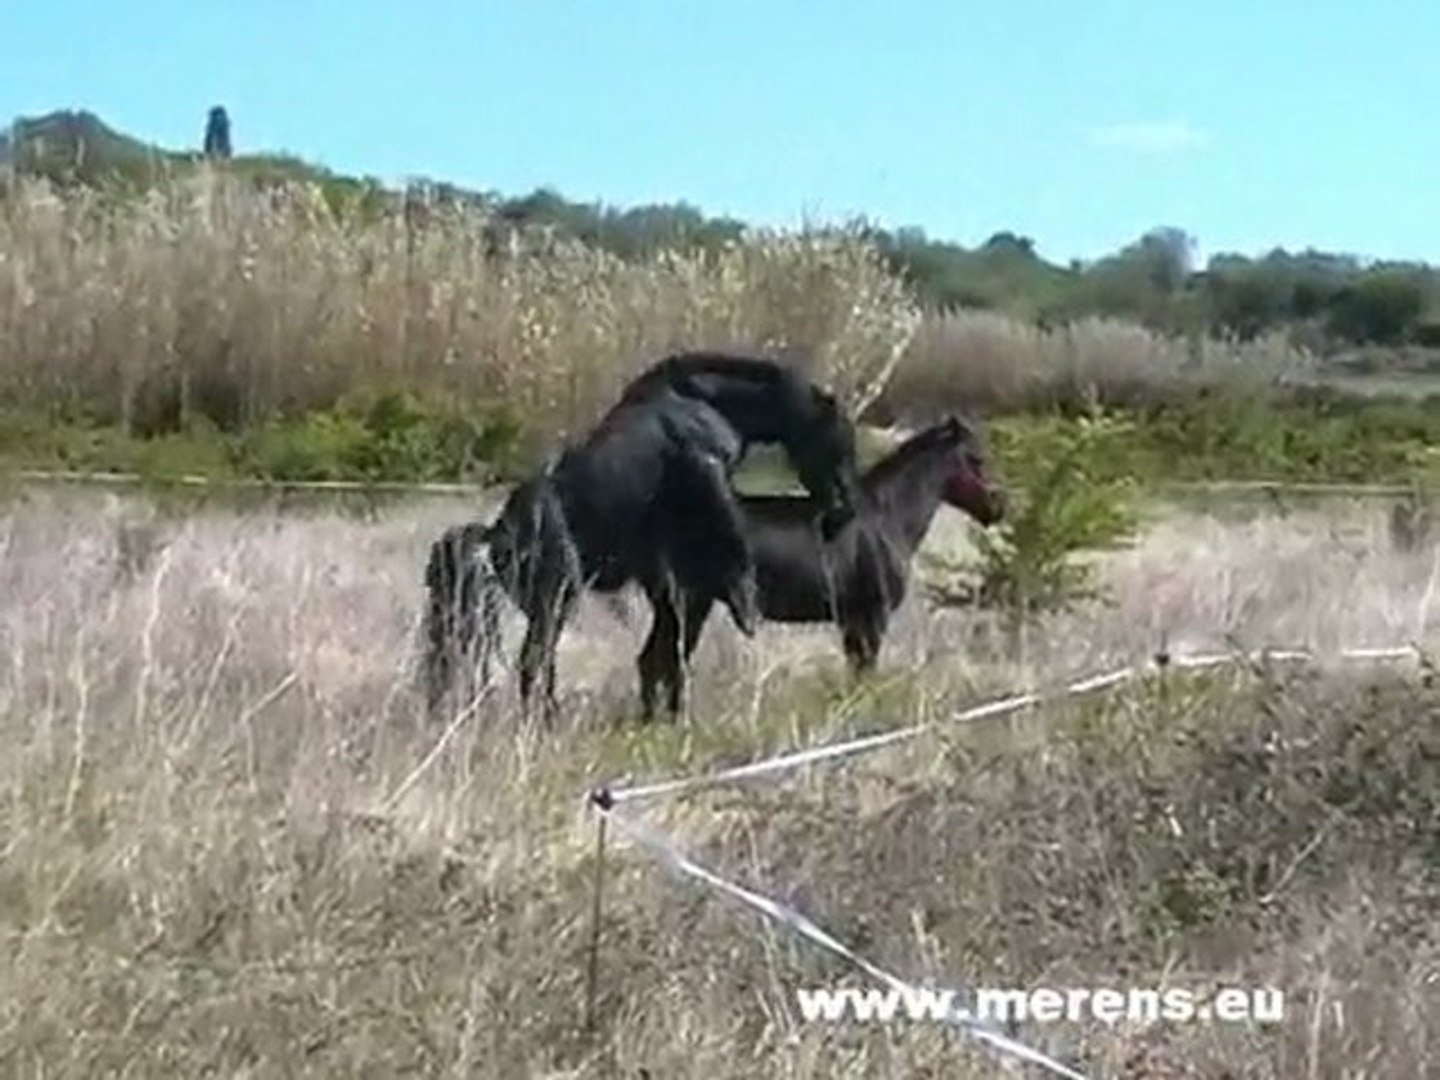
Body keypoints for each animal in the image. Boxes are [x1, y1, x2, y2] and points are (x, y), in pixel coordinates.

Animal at [477, 350, 863, 721]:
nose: (845, 508)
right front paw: (745, 602)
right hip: (554, 600)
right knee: (535, 662)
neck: (702, 400)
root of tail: (495, 536)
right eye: (836, 441)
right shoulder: (704, 466)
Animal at [635, 414, 1005, 717]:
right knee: (667, 663)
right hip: (687, 607)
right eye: (976, 459)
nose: (997, 507)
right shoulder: (872, 617)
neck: (888, 517)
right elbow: (865, 670)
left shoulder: (852, 620)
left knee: (653, 663)